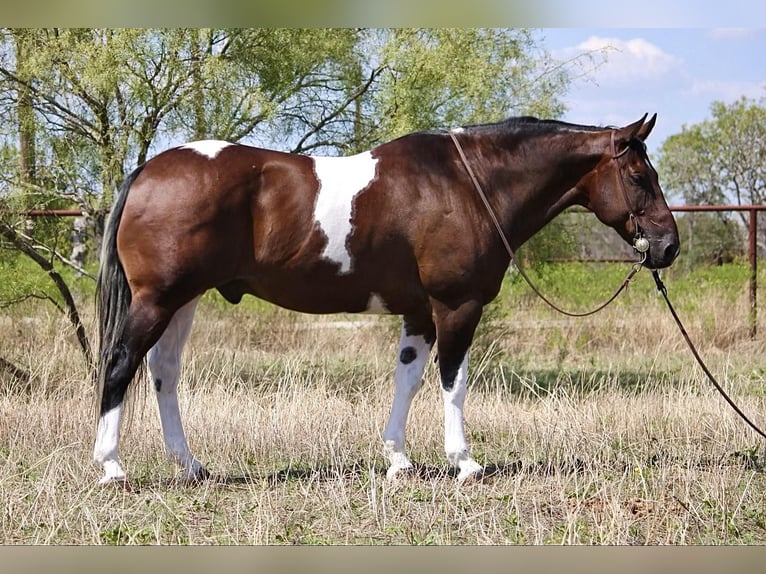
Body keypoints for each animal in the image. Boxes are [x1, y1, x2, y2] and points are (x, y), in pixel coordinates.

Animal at [94, 112, 680, 486]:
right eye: (638, 176)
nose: (669, 246)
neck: (469, 184)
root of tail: (148, 170)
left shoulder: (419, 313)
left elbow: (409, 380)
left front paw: (398, 460)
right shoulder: (456, 307)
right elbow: (453, 383)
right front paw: (464, 462)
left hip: (183, 300)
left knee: (164, 373)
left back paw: (191, 467)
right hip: (158, 300)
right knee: (121, 364)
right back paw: (113, 467)